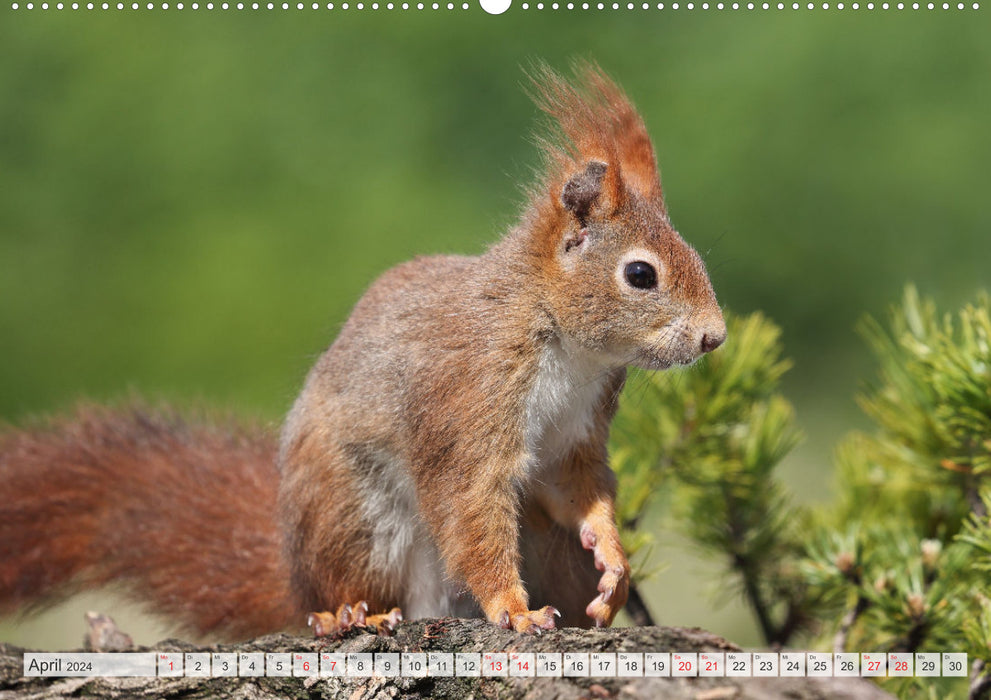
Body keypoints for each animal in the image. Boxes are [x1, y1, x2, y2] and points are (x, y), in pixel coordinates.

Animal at [0, 64, 724, 640]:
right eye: (640, 274)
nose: (714, 336)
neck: (567, 346)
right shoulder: (468, 401)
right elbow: (471, 509)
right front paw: (514, 610)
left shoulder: (575, 435)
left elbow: (580, 491)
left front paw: (613, 562)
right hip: (357, 517)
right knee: (348, 585)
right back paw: (347, 613)